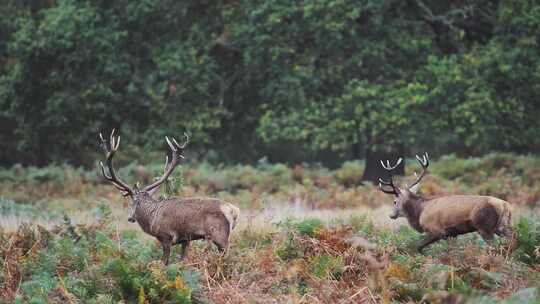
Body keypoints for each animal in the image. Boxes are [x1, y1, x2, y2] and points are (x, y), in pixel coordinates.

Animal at [97, 129, 240, 264]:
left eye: (133, 201)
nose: (130, 218)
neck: (152, 219)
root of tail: (234, 211)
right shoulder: (185, 239)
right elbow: (182, 259)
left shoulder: (166, 236)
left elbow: (165, 262)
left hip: (219, 234)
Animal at [378, 154, 512, 252]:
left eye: (395, 201)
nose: (391, 215)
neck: (420, 213)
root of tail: (505, 206)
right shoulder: (452, 234)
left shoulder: (437, 231)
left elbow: (418, 246)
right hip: (503, 225)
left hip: (484, 227)